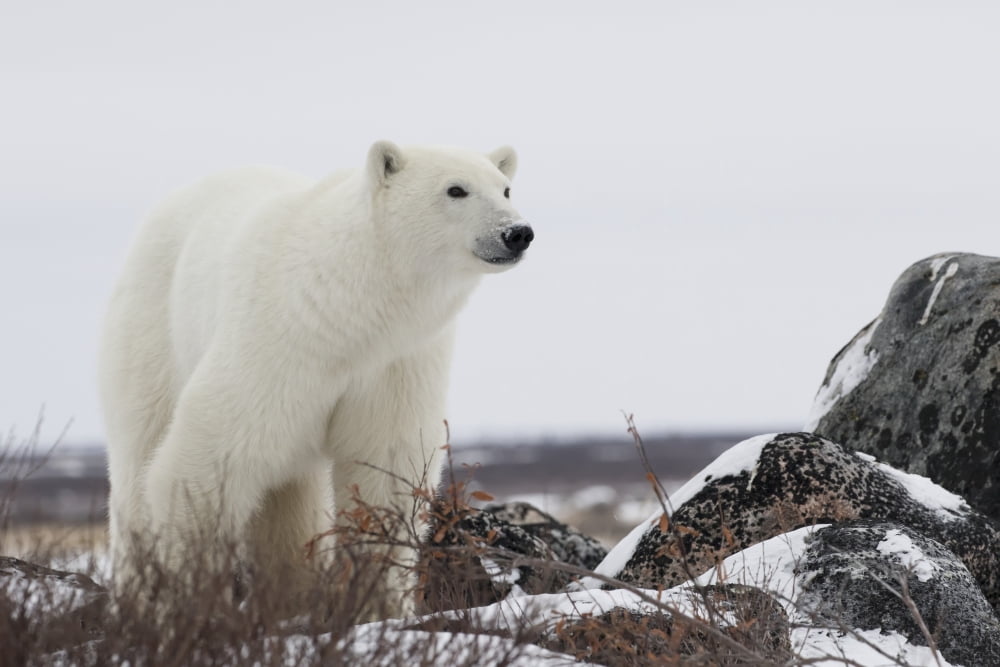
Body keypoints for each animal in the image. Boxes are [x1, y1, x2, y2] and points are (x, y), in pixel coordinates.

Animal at [98, 141, 532, 615]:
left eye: (506, 188)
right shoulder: (279, 343)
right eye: (456, 189)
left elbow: (385, 466)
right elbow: (207, 458)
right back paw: (136, 592)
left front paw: (378, 607)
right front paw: (189, 603)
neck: (350, 310)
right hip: (154, 330)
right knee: (140, 451)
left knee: (291, 502)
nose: (517, 233)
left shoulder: (397, 361)